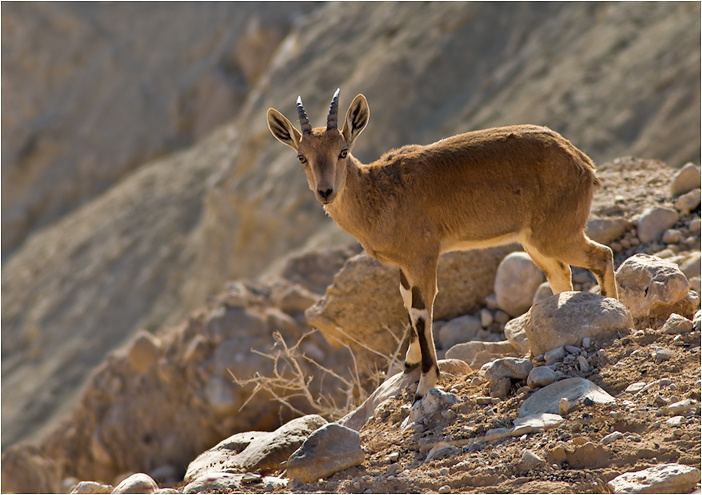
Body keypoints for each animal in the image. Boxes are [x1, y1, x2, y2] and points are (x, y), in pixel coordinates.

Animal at [267, 89, 618, 401]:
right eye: (302, 157)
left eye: (342, 151)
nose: (325, 191)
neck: (377, 195)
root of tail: (582, 162)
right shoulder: (405, 265)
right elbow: (407, 303)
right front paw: (409, 365)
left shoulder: (423, 257)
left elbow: (422, 313)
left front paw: (425, 385)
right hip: (534, 240)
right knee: (561, 273)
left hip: (557, 233)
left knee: (602, 256)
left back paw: (614, 312)